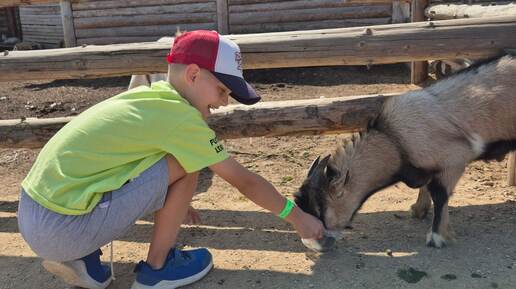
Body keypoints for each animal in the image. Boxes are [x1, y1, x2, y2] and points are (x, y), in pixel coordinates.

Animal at [294, 54, 516, 250]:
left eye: (320, 211)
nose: (312, 243)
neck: (394, 140)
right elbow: (427, 188)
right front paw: (418, 210)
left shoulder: (453, 161)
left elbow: (440, 195)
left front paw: (437, 237)